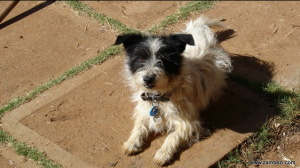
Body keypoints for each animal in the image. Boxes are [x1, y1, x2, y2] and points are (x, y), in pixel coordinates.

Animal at [114, 15, 232, 165]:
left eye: (164, 59)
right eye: (140, 57)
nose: (148, 79)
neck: (159, 97)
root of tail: (198, 30)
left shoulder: (188, 123)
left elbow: (172, 136)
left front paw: (163, 153)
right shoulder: (143, 110)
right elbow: (139, 126)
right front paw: (132, 142)